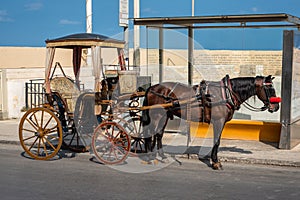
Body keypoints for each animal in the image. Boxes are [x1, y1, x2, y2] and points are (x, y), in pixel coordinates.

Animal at [142, 74, 280, 169]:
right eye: (270, 89)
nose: (276, 107)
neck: (226, 93)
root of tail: (152, 88)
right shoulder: (218, 121)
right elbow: (216, 141)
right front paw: (215, 162)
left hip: (164, 116)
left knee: (159, 135)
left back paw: (162, 156)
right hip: (157, 116)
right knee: (150, 134)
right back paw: (150, 157)